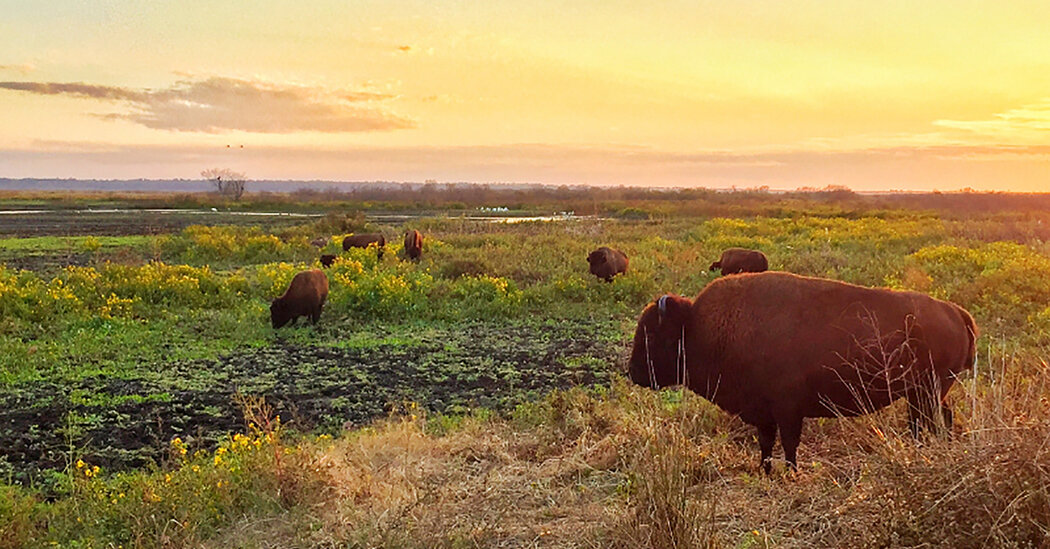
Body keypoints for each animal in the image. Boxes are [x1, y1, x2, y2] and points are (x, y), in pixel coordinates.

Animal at [621, 272, 974, 474]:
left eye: (653, 334)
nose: (634, 371)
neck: (697, 328)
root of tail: (955, 311)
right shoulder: (764, 411)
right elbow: (766, 443)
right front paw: (765, 470)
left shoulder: (788, 409)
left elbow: (789, 443)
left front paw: (792, 472)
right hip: (925, 393)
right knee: (937, 419)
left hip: (926, 391)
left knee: (928, 421)